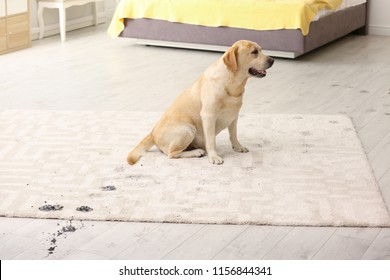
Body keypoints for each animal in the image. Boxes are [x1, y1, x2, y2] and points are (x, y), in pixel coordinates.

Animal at [128, 40, 274, 165]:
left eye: (261, 50)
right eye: (254, 52)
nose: (272, 60)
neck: (231, 84)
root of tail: (152, 134)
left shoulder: (234, 115)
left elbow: (233, 134)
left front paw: (238, 147)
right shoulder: (208, 116)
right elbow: (211, 140)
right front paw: (214, 156)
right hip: (187, 129)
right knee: (172, 154)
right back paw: (197, 152)